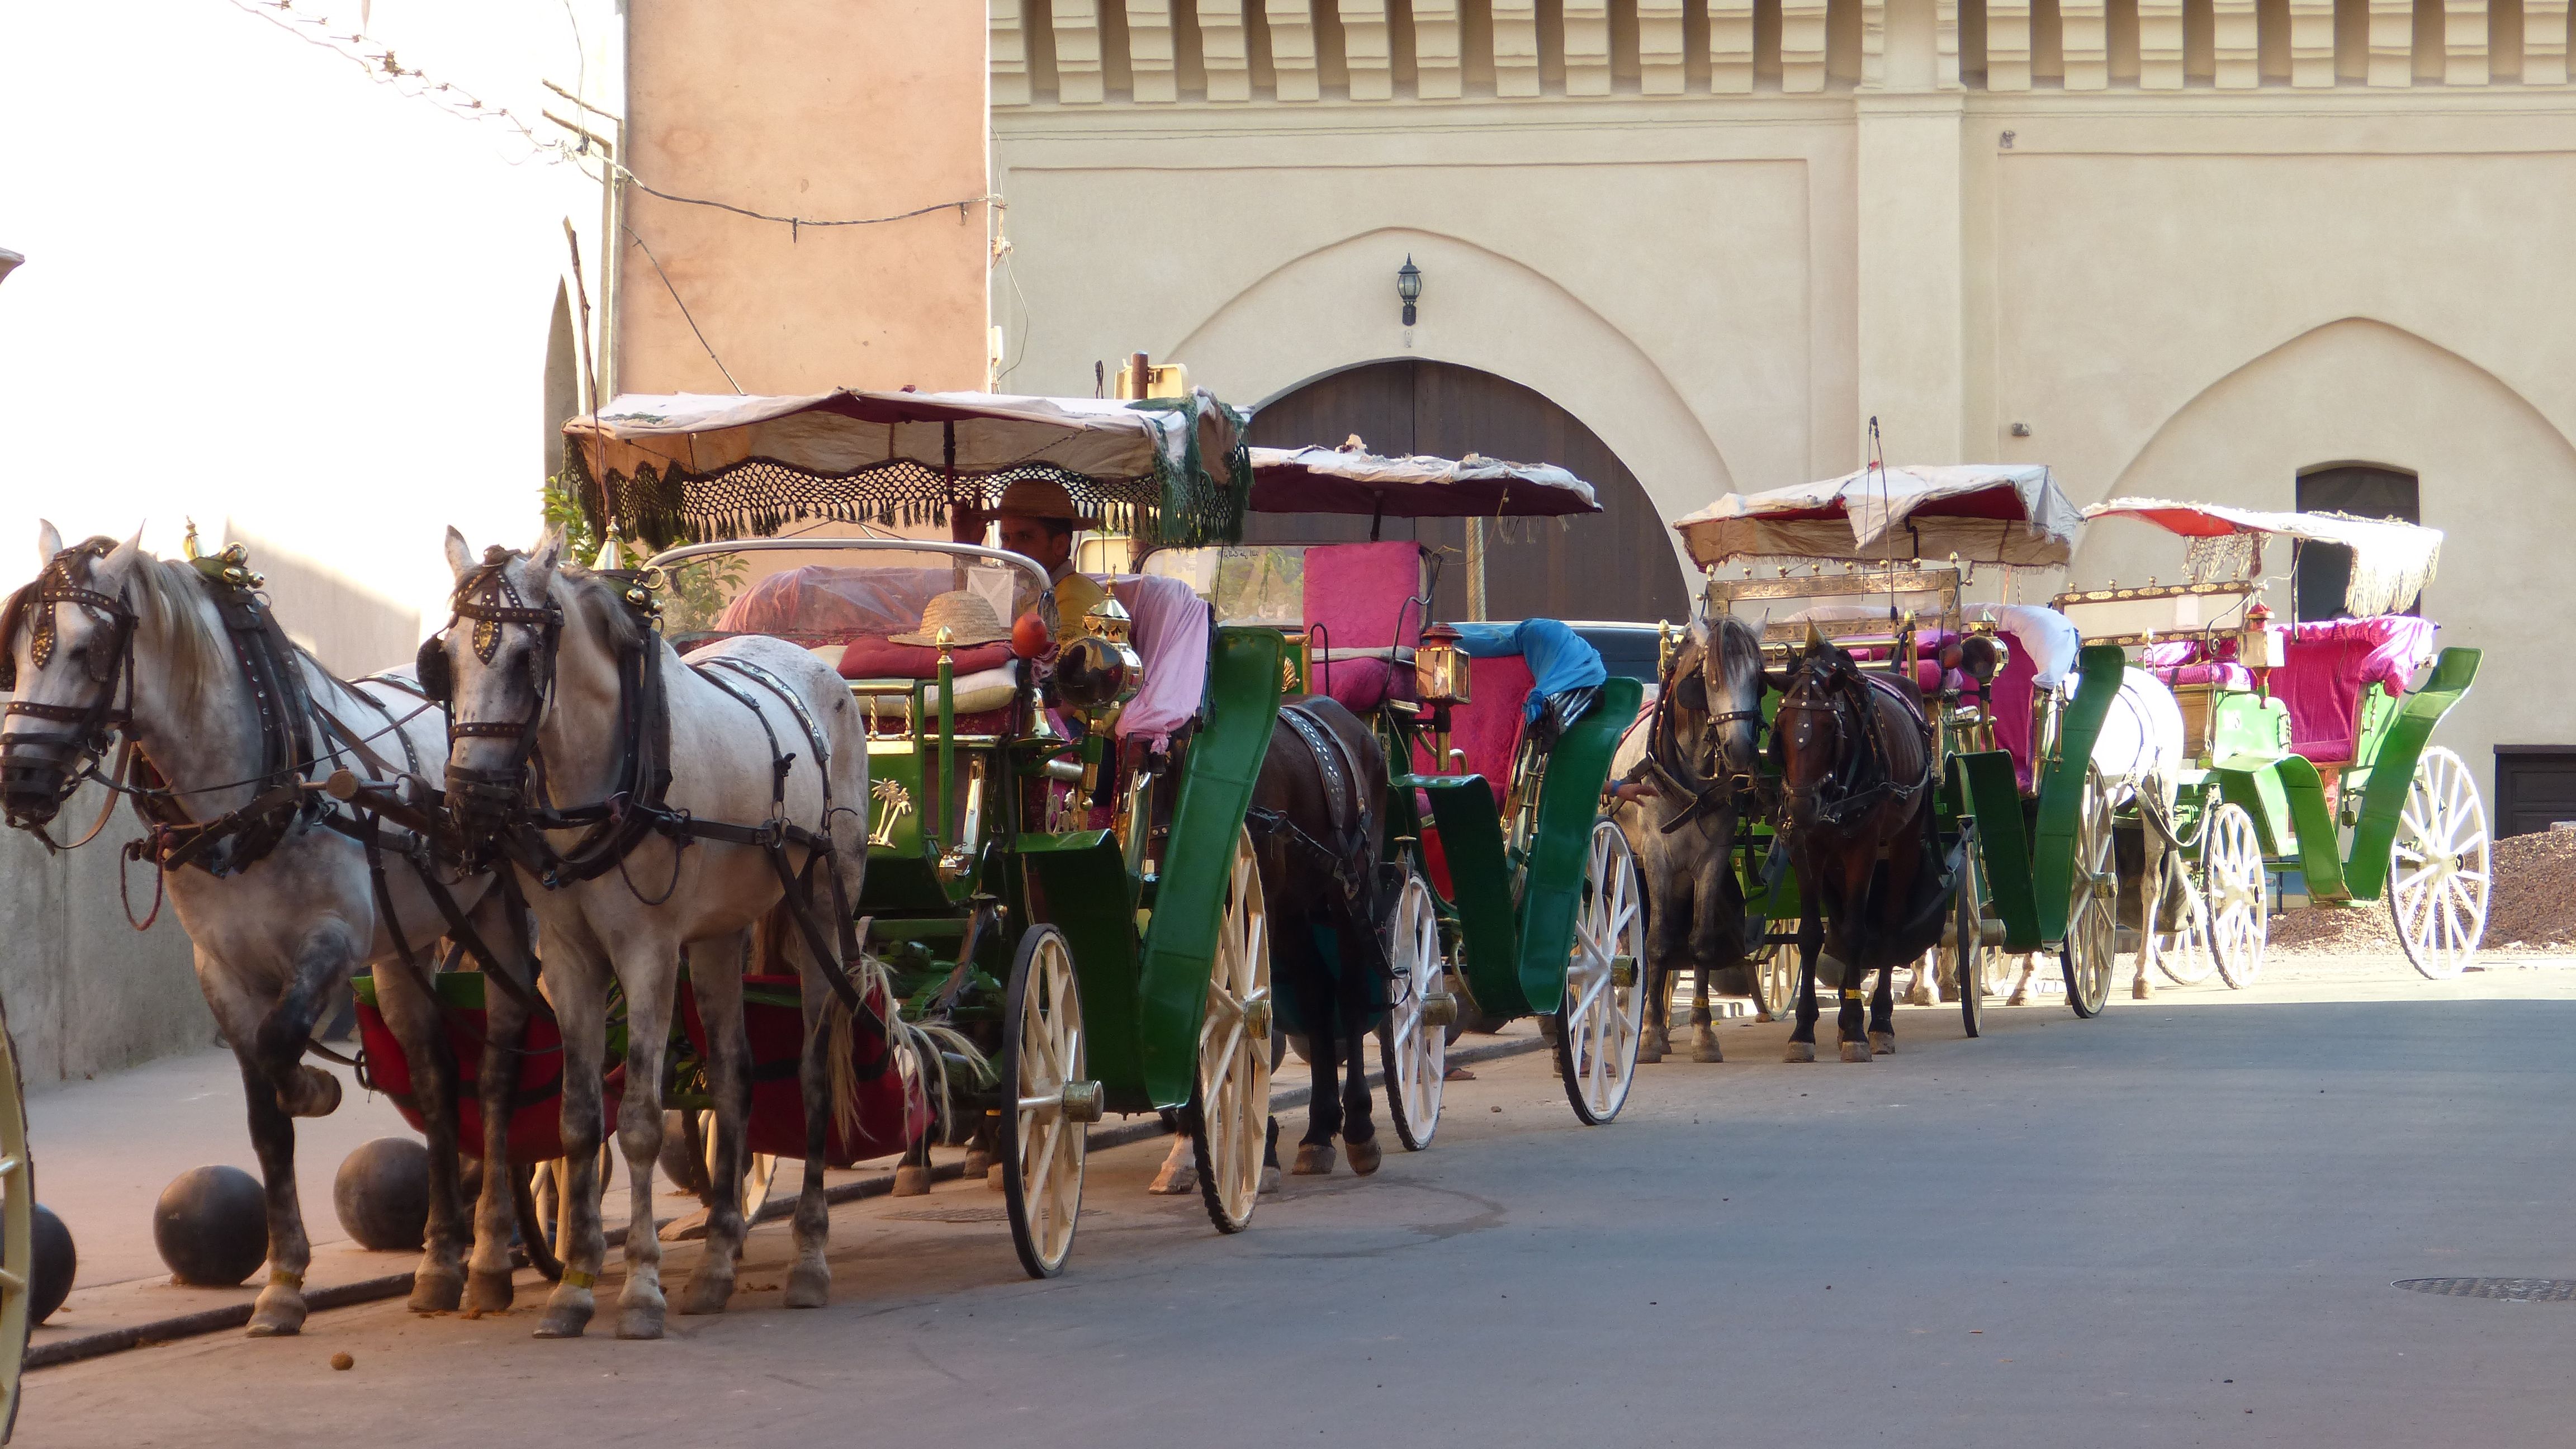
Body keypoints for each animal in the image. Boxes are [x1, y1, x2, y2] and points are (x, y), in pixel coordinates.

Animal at [0, 518, 533, 1330]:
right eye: (20, 642)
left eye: (90, 651)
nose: (21, 778)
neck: (250, 797)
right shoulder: (222, 970)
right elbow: (263, 1119)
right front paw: (283, 1282)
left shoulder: (331, 942)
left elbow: (285, 1046)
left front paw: (315, 1088)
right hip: (403, 946)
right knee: (438, 1080)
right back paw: (440, 1259)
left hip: (496, 920)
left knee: (500, 1076)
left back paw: (493, 1257)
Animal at [433, 523, 886, 1341]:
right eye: (446, 658)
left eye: (523, 658)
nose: (470, 796)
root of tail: (816, 663)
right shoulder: (569, 958)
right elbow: (581, 1120)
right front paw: (575, 1286)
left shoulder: (647, 952)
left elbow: (641, 1119)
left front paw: (640, 1288)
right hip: (717, 935)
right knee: (736, 1077)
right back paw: (717, 1263)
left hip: (822, 907)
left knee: (809, 1074)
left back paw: (808, 1259)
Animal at [1772, 631, 1947, 1062]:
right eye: (1780, 727)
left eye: (1829, 727)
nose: (1802, 806)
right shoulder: (1805, 848)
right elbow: (1810, 936)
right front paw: (1803, 1030)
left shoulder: (1863, 849)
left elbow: (1855, 931)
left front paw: (1854, 1029)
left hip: (1903, 843)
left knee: (1888, 923)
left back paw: (1880, 1021)